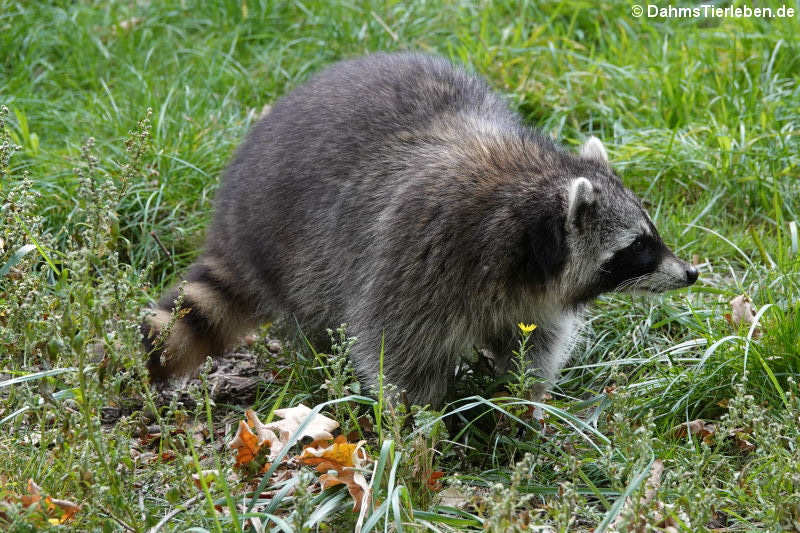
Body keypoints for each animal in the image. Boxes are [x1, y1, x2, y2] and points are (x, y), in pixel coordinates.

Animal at [141, 51, 696, 408]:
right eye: (638, 248)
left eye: (651, 233)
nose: (690, 273)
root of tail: (229, 214)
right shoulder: (422, 254)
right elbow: (397, 350)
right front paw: (421, 425)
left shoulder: (528, 292)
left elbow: (535, 339)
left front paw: (526, 397)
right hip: (289, 251)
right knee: (317, 318)